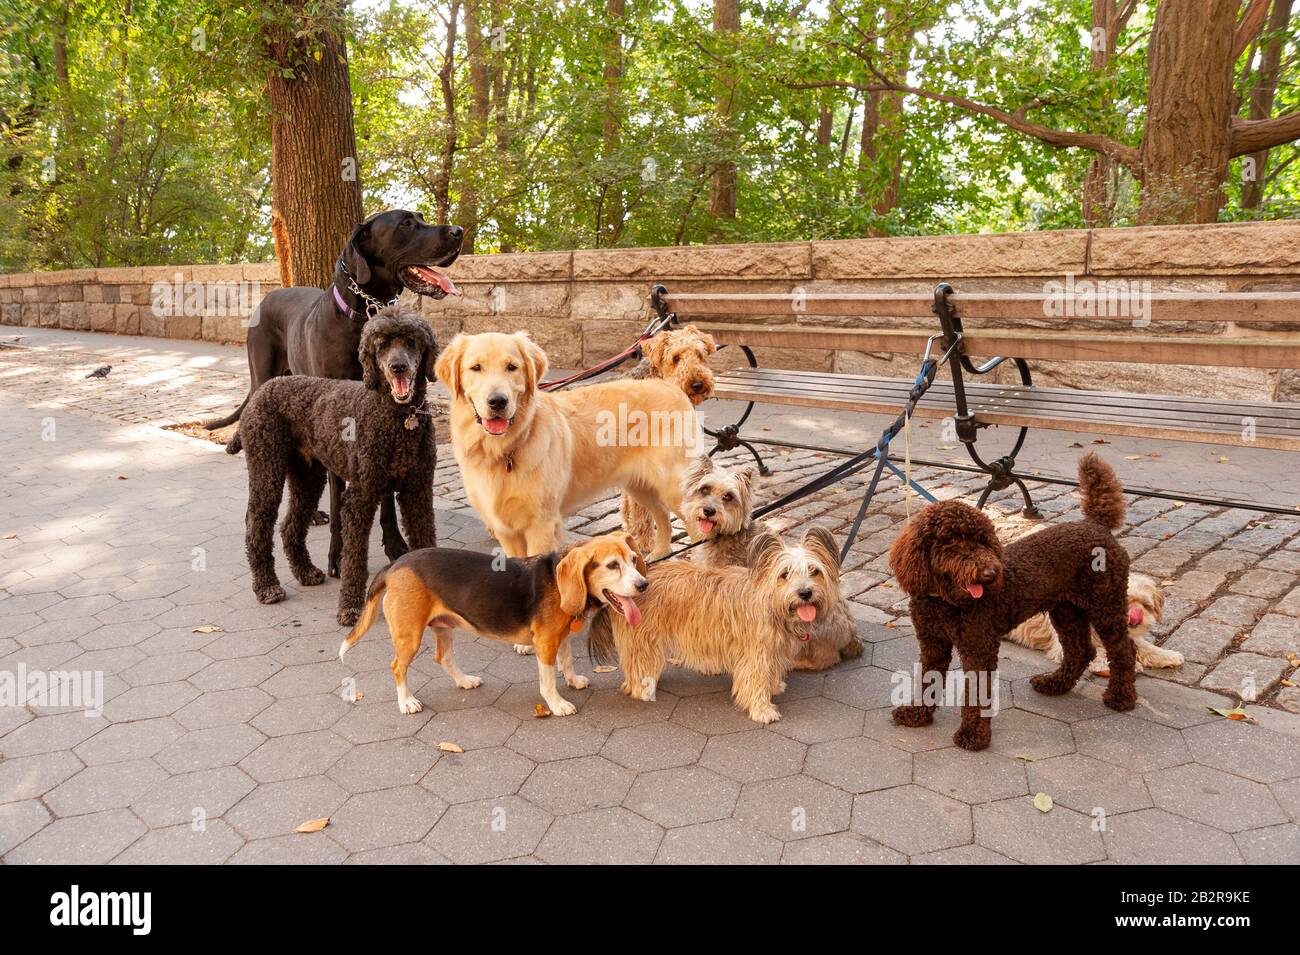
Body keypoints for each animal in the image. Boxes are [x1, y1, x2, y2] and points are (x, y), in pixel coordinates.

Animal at [587, 527, 842, 722]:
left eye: (814, 571)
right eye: (785, 574)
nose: (805, 593)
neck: (770, 602)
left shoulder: (773, 651)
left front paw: (773, 687)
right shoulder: (755, 655)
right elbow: (755, 679)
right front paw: (762, 709)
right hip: (644, 641)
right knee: (637, 667)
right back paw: (643, 689)